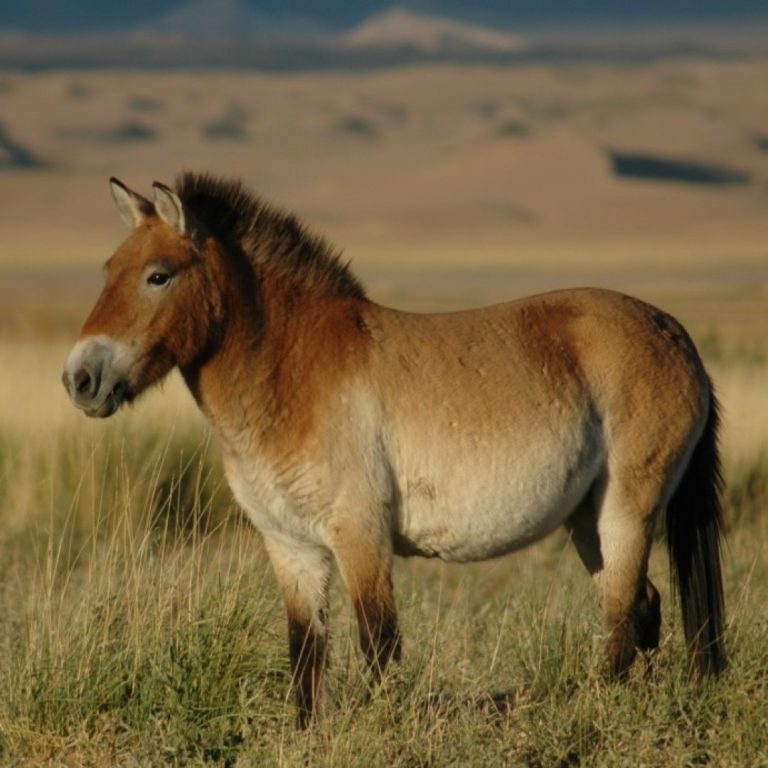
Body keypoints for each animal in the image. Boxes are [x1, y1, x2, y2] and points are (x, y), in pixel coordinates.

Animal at [61, 172, 728, 728]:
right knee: (643, 607)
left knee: (624, 616)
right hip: (587, 520)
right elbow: (305, 654)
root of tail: (675, 334)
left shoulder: (360, 536)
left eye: (158, 275)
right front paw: (307, 739)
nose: (80, 379)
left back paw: (599, 713)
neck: (292, 373)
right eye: (107, 268)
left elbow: (378, 646)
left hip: (626, 511)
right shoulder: (291, 546)